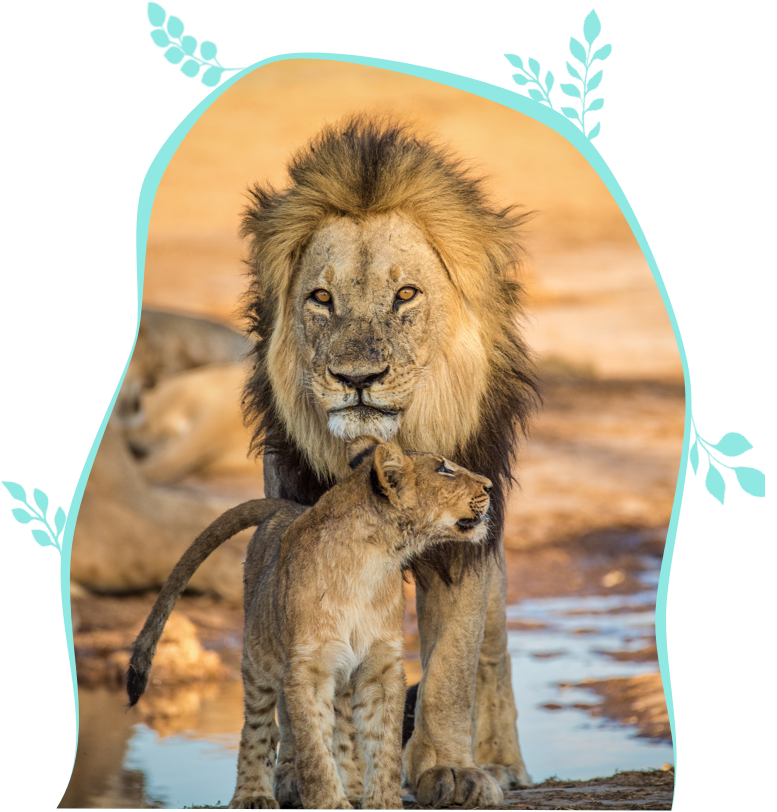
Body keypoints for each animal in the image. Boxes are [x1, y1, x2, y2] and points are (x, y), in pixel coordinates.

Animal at [128, 435, 493, 810]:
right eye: (444, 469)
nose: (490, 485)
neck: (372, 562)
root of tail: (285, 508)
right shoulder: (308, 668)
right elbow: (314, 750)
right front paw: (329, 802)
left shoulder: (380, 667)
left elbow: (384, 746)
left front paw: (381, 801)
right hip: (259, 657)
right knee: (260, 725)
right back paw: (253, 794)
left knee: (342, 731)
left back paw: (353, 788)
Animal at [239, 115, 540, 807]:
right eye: (321, 298)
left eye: (405, 294)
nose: (357, 378)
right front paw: (304, 772)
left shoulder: (465, 539)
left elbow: (453, 664)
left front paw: (449, 770)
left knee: (494, 649)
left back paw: (502, 760)